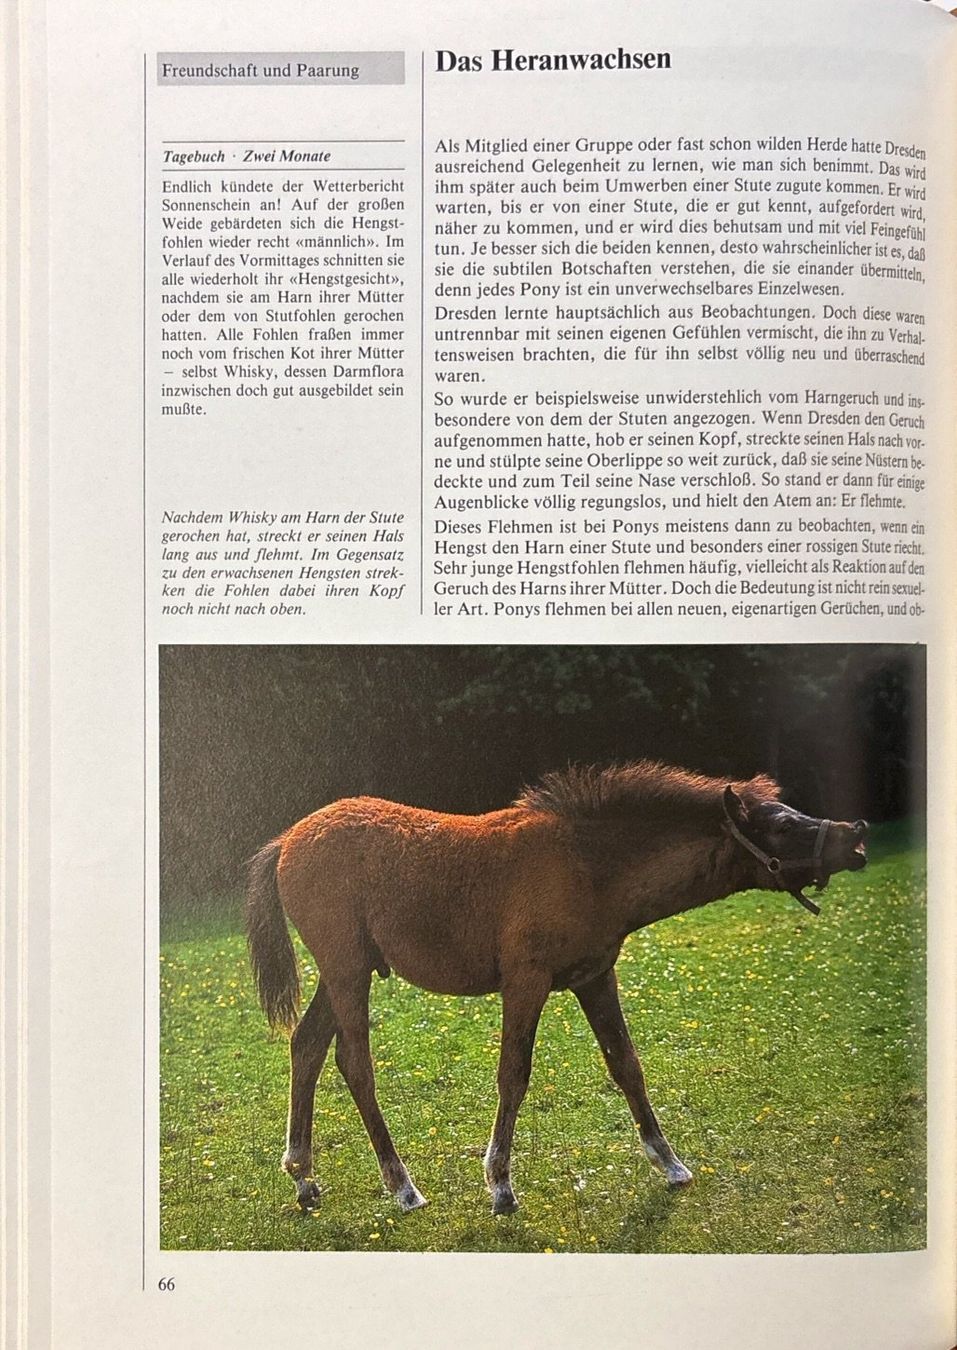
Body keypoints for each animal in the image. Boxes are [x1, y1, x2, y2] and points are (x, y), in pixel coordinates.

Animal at [245, 761, 867, 1216]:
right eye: (781, 825)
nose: (856, 838)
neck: (588, 864)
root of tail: (286, 840)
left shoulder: (595, 976)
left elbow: (626, 1065)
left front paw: (670, 1165)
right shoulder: (527, 982)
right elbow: (513, 1075)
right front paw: (500, 1185)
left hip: (342, 973)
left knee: (306, 1046)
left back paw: (303, 1178)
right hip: (347, 970)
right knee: (353, 1062)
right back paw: (401, 1186)